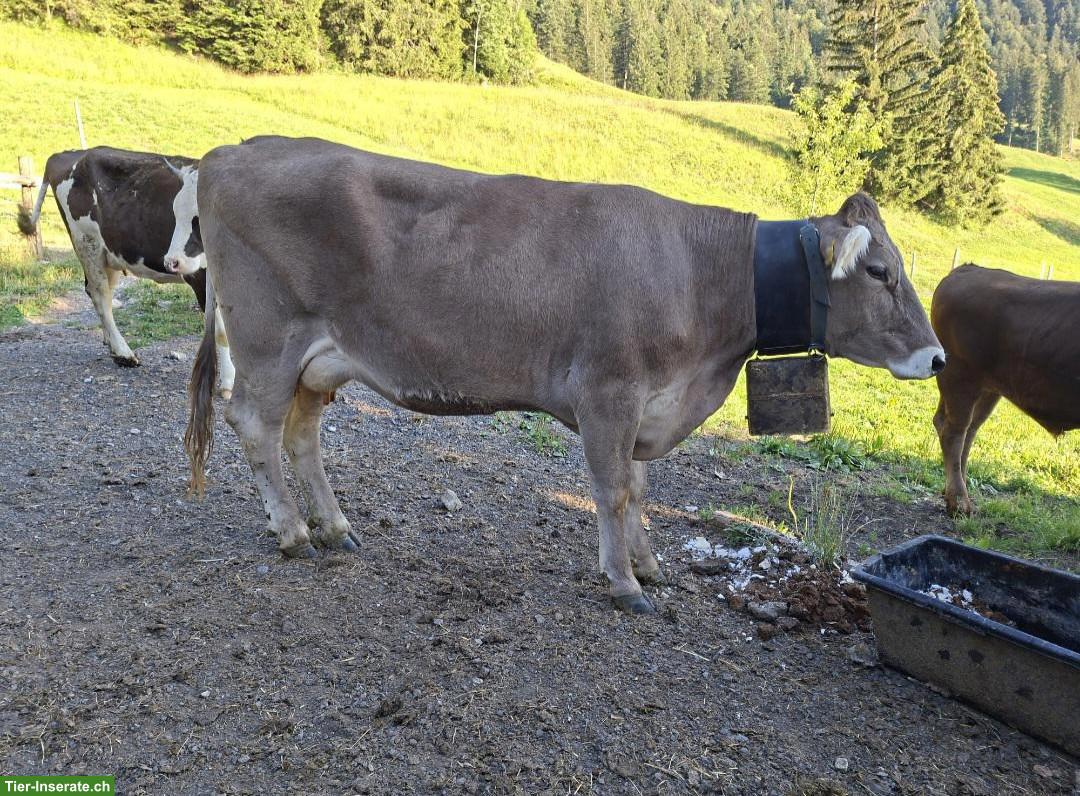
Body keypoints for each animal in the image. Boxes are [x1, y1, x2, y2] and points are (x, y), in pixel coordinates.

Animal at [22, 146, 234, 394]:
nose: (171, 261)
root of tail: (71, 153)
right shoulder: (201, 277)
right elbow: (222, 332)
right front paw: (228, 382)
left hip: (109, 254)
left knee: (98, 292)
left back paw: (110, 344)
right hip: (87, 242)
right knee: (100, 295)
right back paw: (123, 353)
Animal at [186, 135, 945, 614]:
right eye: (881, 271)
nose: (937, 357)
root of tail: (233, 151)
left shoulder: (645, 404)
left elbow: (638, 488)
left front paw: (647, 565)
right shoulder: (608, 391)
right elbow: (612, 490)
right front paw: (624, 584)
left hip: (321, 359)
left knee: (300, 435)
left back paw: (334, 526)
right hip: (268, 339)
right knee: (252, 423)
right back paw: (291, 532)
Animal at [931, 264, 1080, 515]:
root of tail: (969, 268)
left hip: (988, 389)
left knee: (969, 430)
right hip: (961, 378)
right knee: (954, 431)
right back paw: (960, 502)